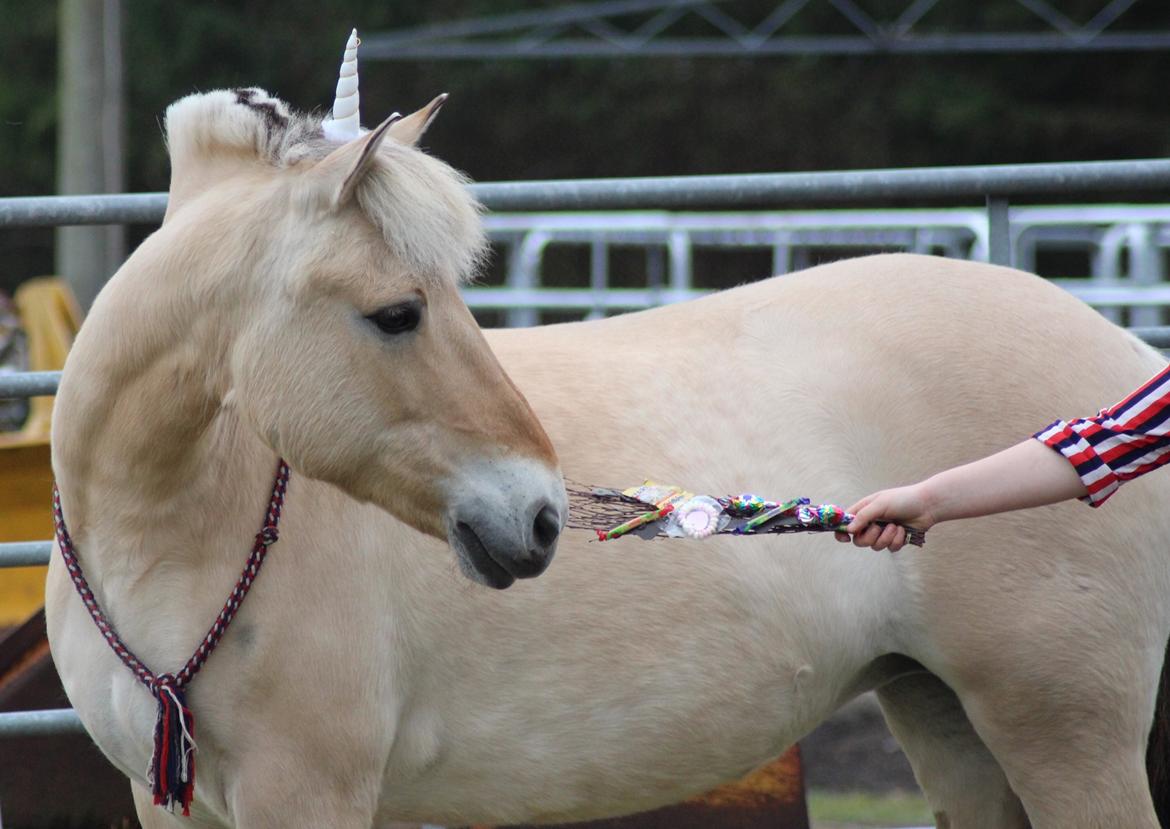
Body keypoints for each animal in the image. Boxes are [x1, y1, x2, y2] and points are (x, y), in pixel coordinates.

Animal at [43, 74, 1170, 827]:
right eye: (399, 311)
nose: (538, 517)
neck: (176, 528)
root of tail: (1128, 361)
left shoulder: (306, 791)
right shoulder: (169, 799)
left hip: (1066, 731)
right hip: (947, 722)